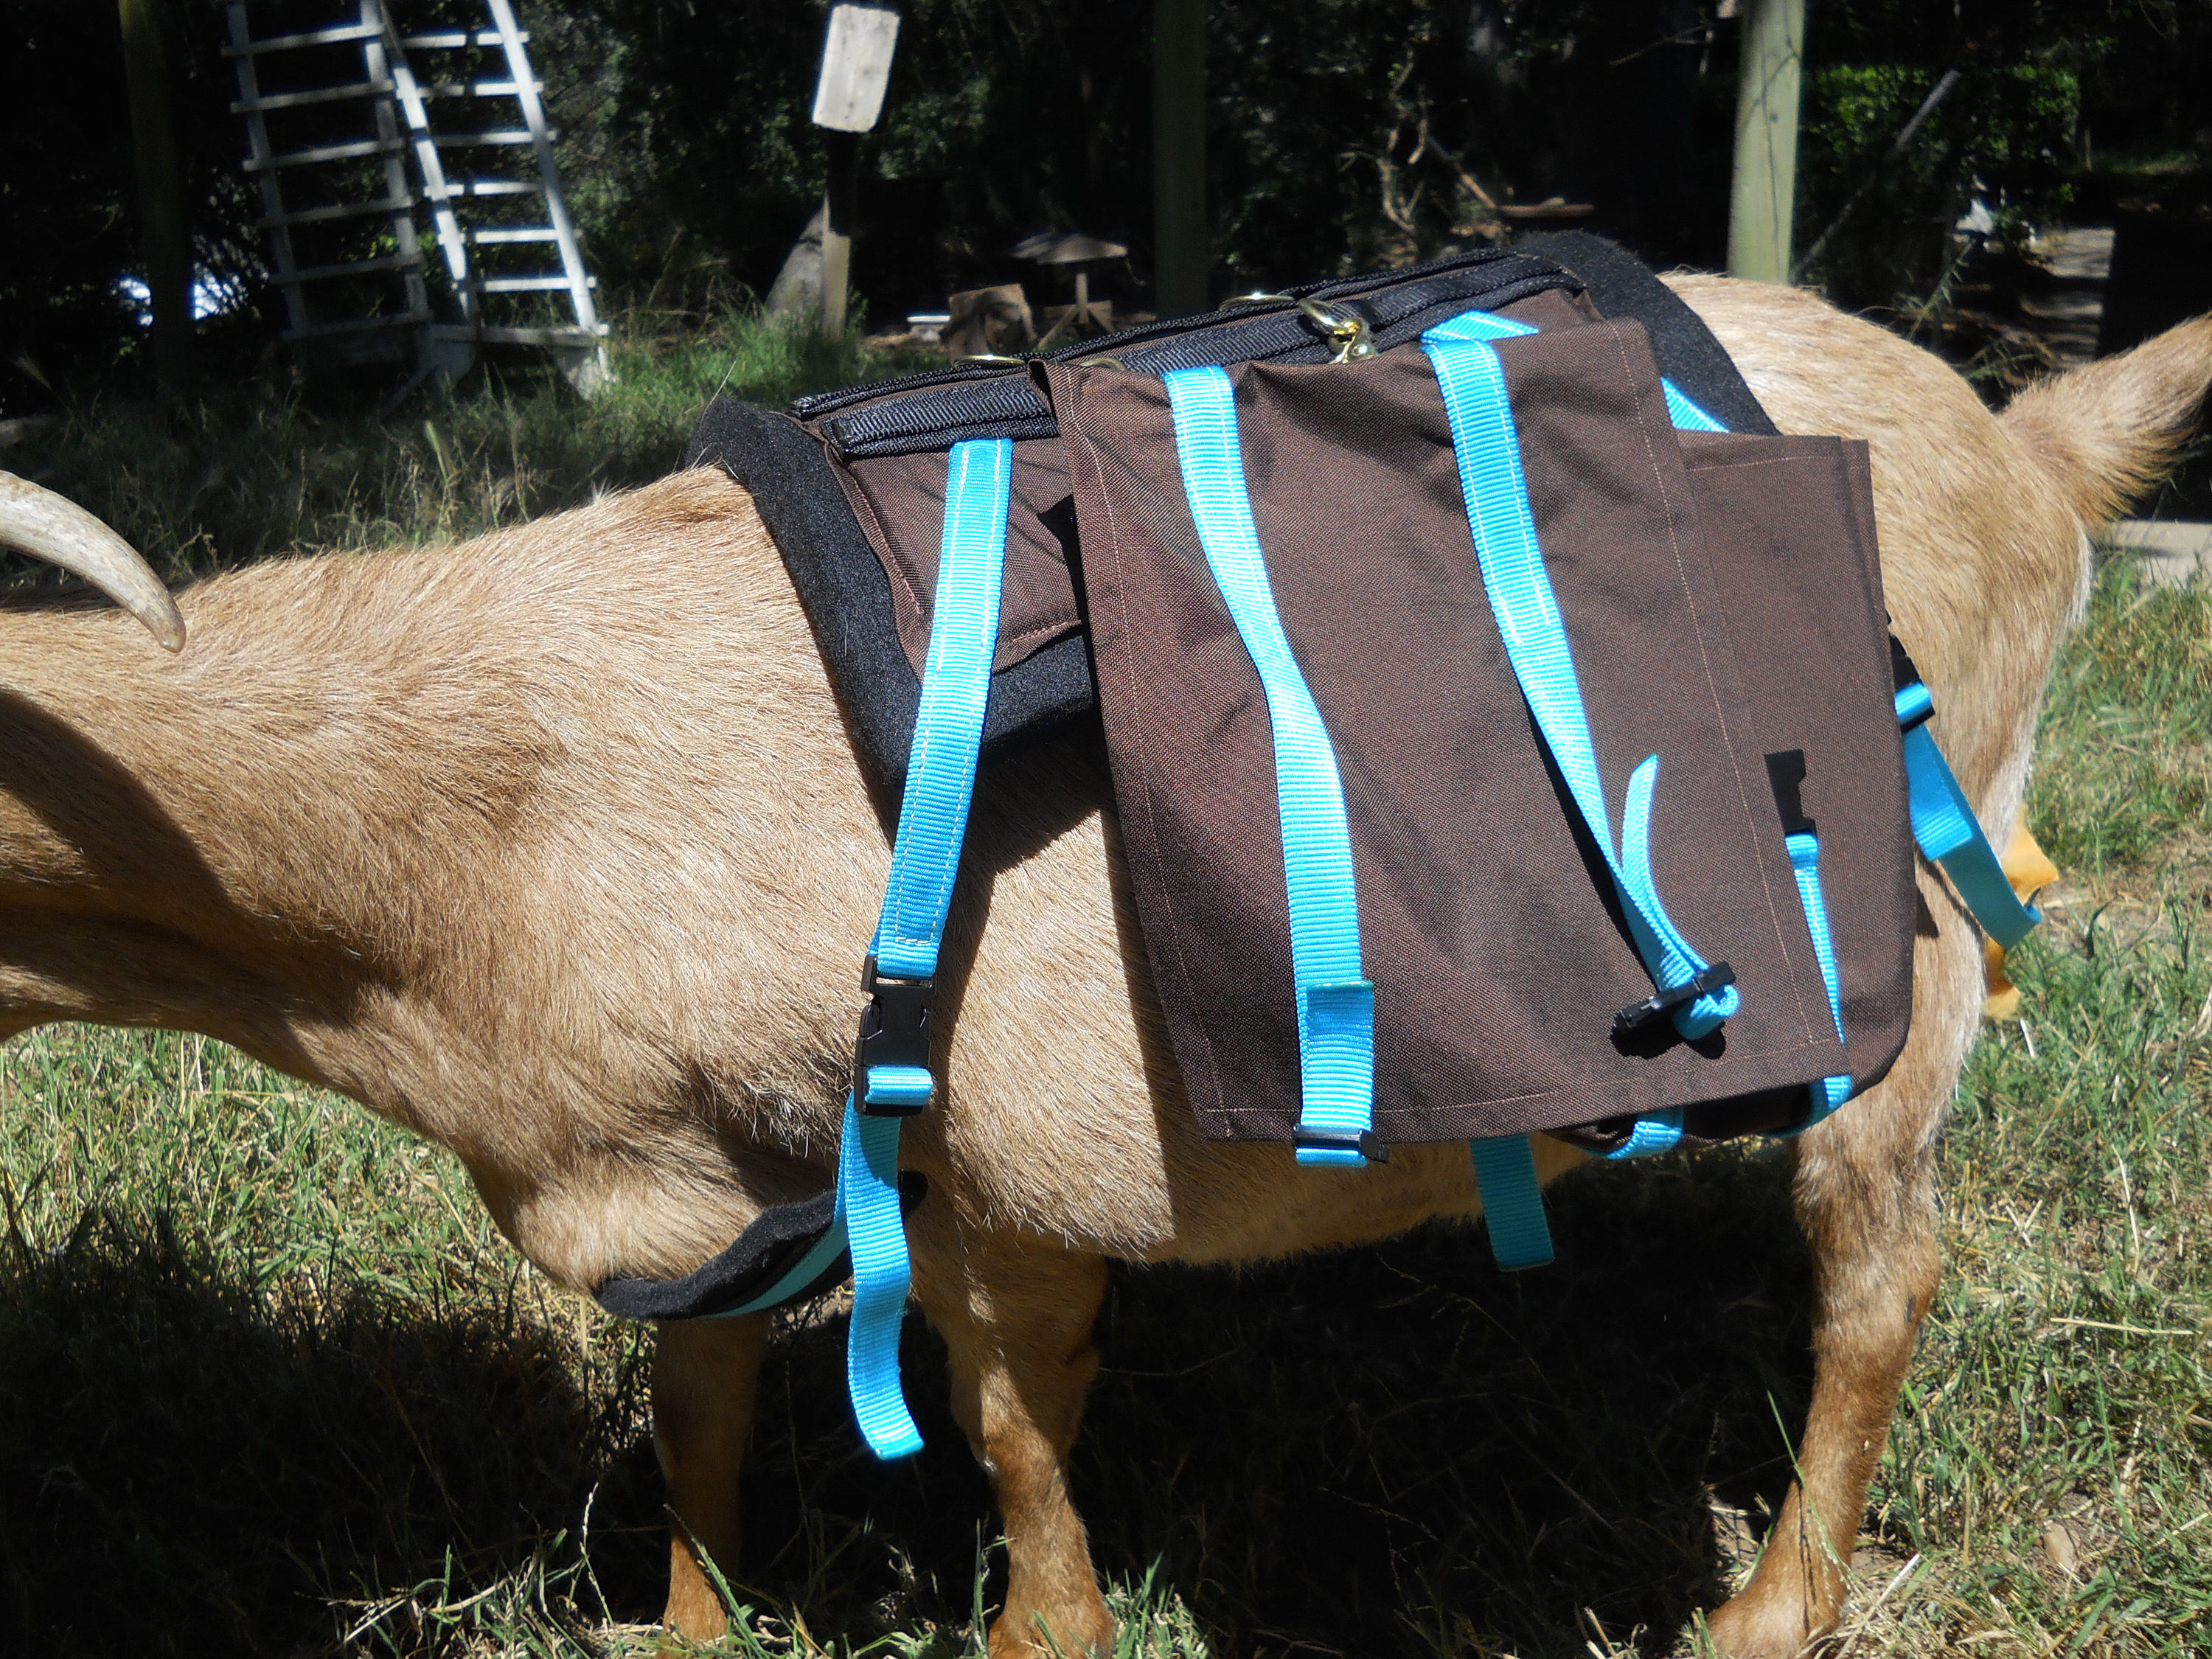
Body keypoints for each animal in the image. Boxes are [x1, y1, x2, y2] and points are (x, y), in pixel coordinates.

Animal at [2, 277, 2208, 1658]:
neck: (483, 807)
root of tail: (2023, 445)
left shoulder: (985, 1129)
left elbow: (1005, 1418)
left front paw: (1034, 1632)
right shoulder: (701, 1173)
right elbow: (703, 1410)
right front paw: (691, 1625)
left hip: (1901, 948)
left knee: (1877, 1275)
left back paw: (1769, 1605)